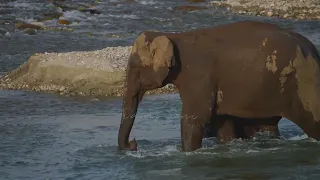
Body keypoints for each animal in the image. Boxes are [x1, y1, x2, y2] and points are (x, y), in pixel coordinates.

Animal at [117, 20, 320, 152]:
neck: (174, 37)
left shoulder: (198, 75)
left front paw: (188, 153)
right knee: (267, 124)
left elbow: (194, 118)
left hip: (304, 85)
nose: (134, 144)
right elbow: (220, 120)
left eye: (133, 66)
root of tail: (314, 52)